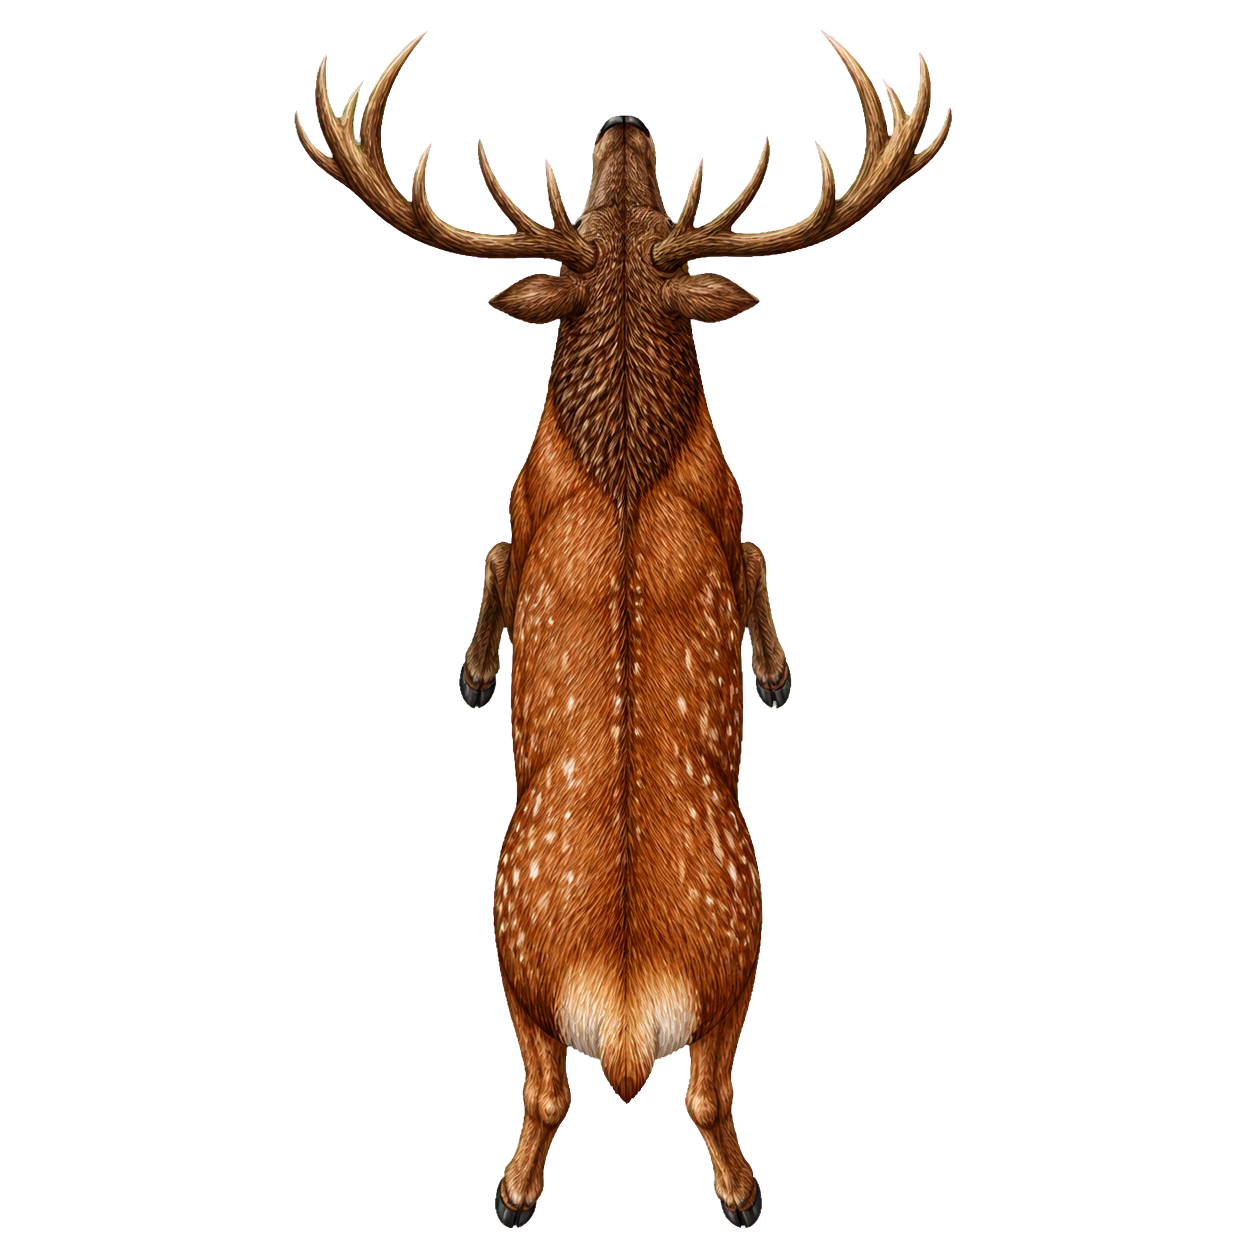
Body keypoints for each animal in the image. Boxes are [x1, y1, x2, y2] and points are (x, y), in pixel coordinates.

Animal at [296, 27, 949, 1227]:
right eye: (608, 215)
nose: (624, 119)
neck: (628, 447)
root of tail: (632, 993)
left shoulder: (561, 501)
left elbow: (525, 552)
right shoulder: (699, 500)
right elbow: (740, 552)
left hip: (521, 954)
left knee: (568, 1089)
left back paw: (523, 1193)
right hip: (728, 954)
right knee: (693, 1090)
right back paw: (730, 1193)